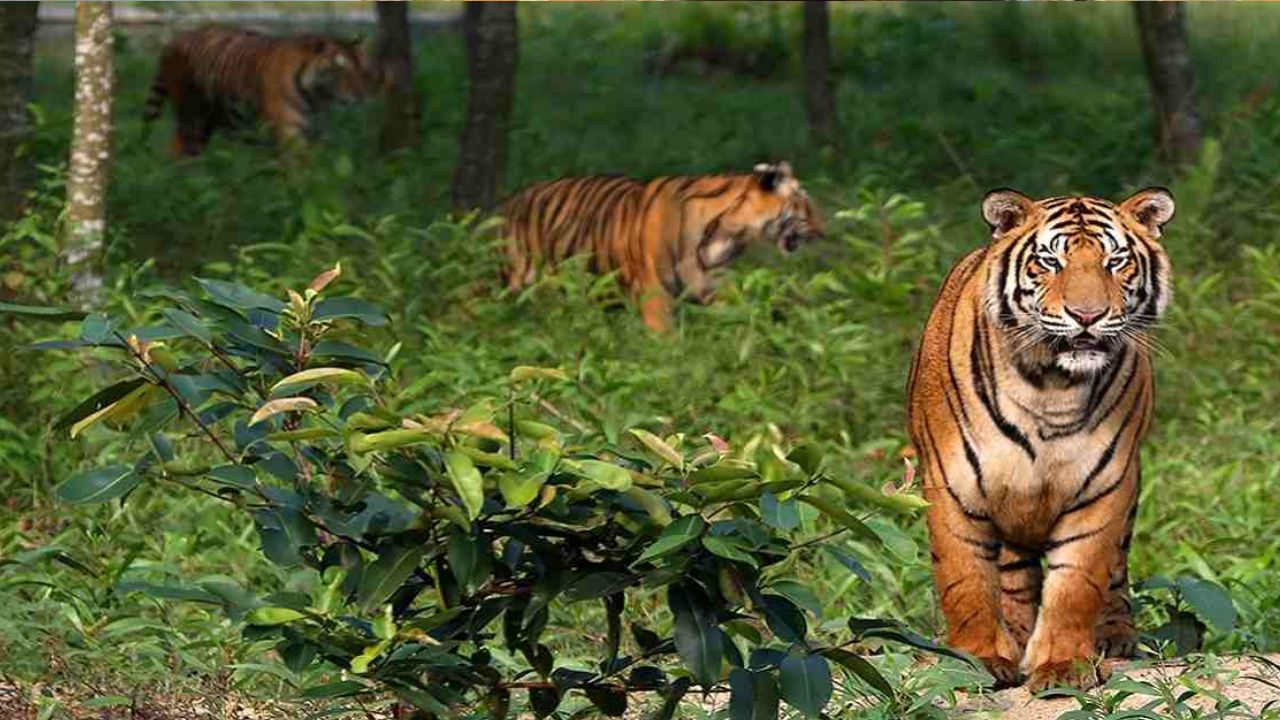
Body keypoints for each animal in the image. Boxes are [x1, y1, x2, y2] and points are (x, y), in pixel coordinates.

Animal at [143, 25, 371, 157]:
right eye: (341, 69)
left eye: (362, 68)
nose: (362, 94)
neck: (316, 98)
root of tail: (174, 40)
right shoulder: (289, 133)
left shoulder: (313, 134)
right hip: (192, 116)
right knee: (180, 147)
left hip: (209, 119)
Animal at [502, 162, 825, 332]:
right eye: (806, 207)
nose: (823, 231)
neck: (730, 235)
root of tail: (514, 199)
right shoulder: (654, 295)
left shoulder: (714, 286)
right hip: (518, 280)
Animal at [906, 188, 1175, 691]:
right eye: (1050, 261)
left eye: (1115, 261)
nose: (1087, 315)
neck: (1051, 386)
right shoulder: (952, 484)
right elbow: (965, 580)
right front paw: (978, 660)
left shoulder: (1104, 486)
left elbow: (1076, 584)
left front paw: (1064, 666)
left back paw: (1114, 636)